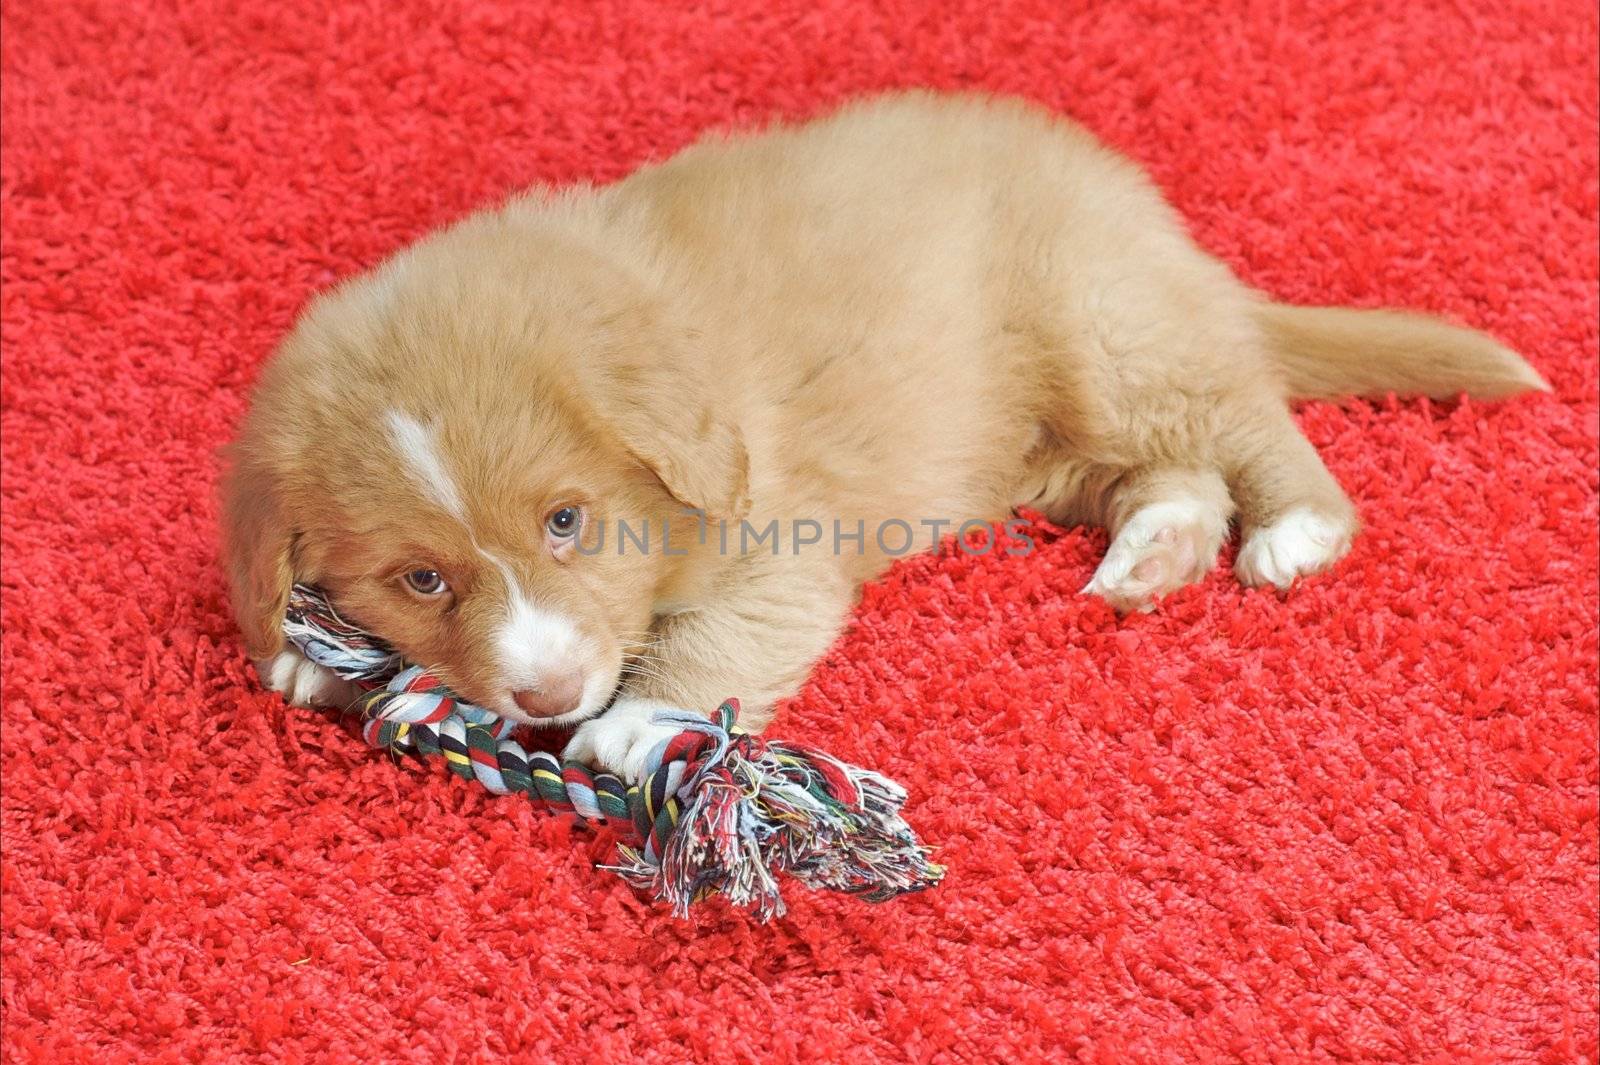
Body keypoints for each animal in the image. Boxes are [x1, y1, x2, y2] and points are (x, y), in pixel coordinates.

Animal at [219, 91, 1542, 777]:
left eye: (564, 520)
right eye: (421, 580)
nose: (545, 696)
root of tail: (1150, 223)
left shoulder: (778, 548)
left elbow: (720, 638)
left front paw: (648, 723)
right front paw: (317, 652)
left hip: (1105, 331)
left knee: (1244, 416)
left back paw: (1298, 530)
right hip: (1032, 439)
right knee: (1173, 474)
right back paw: (1152, 553)